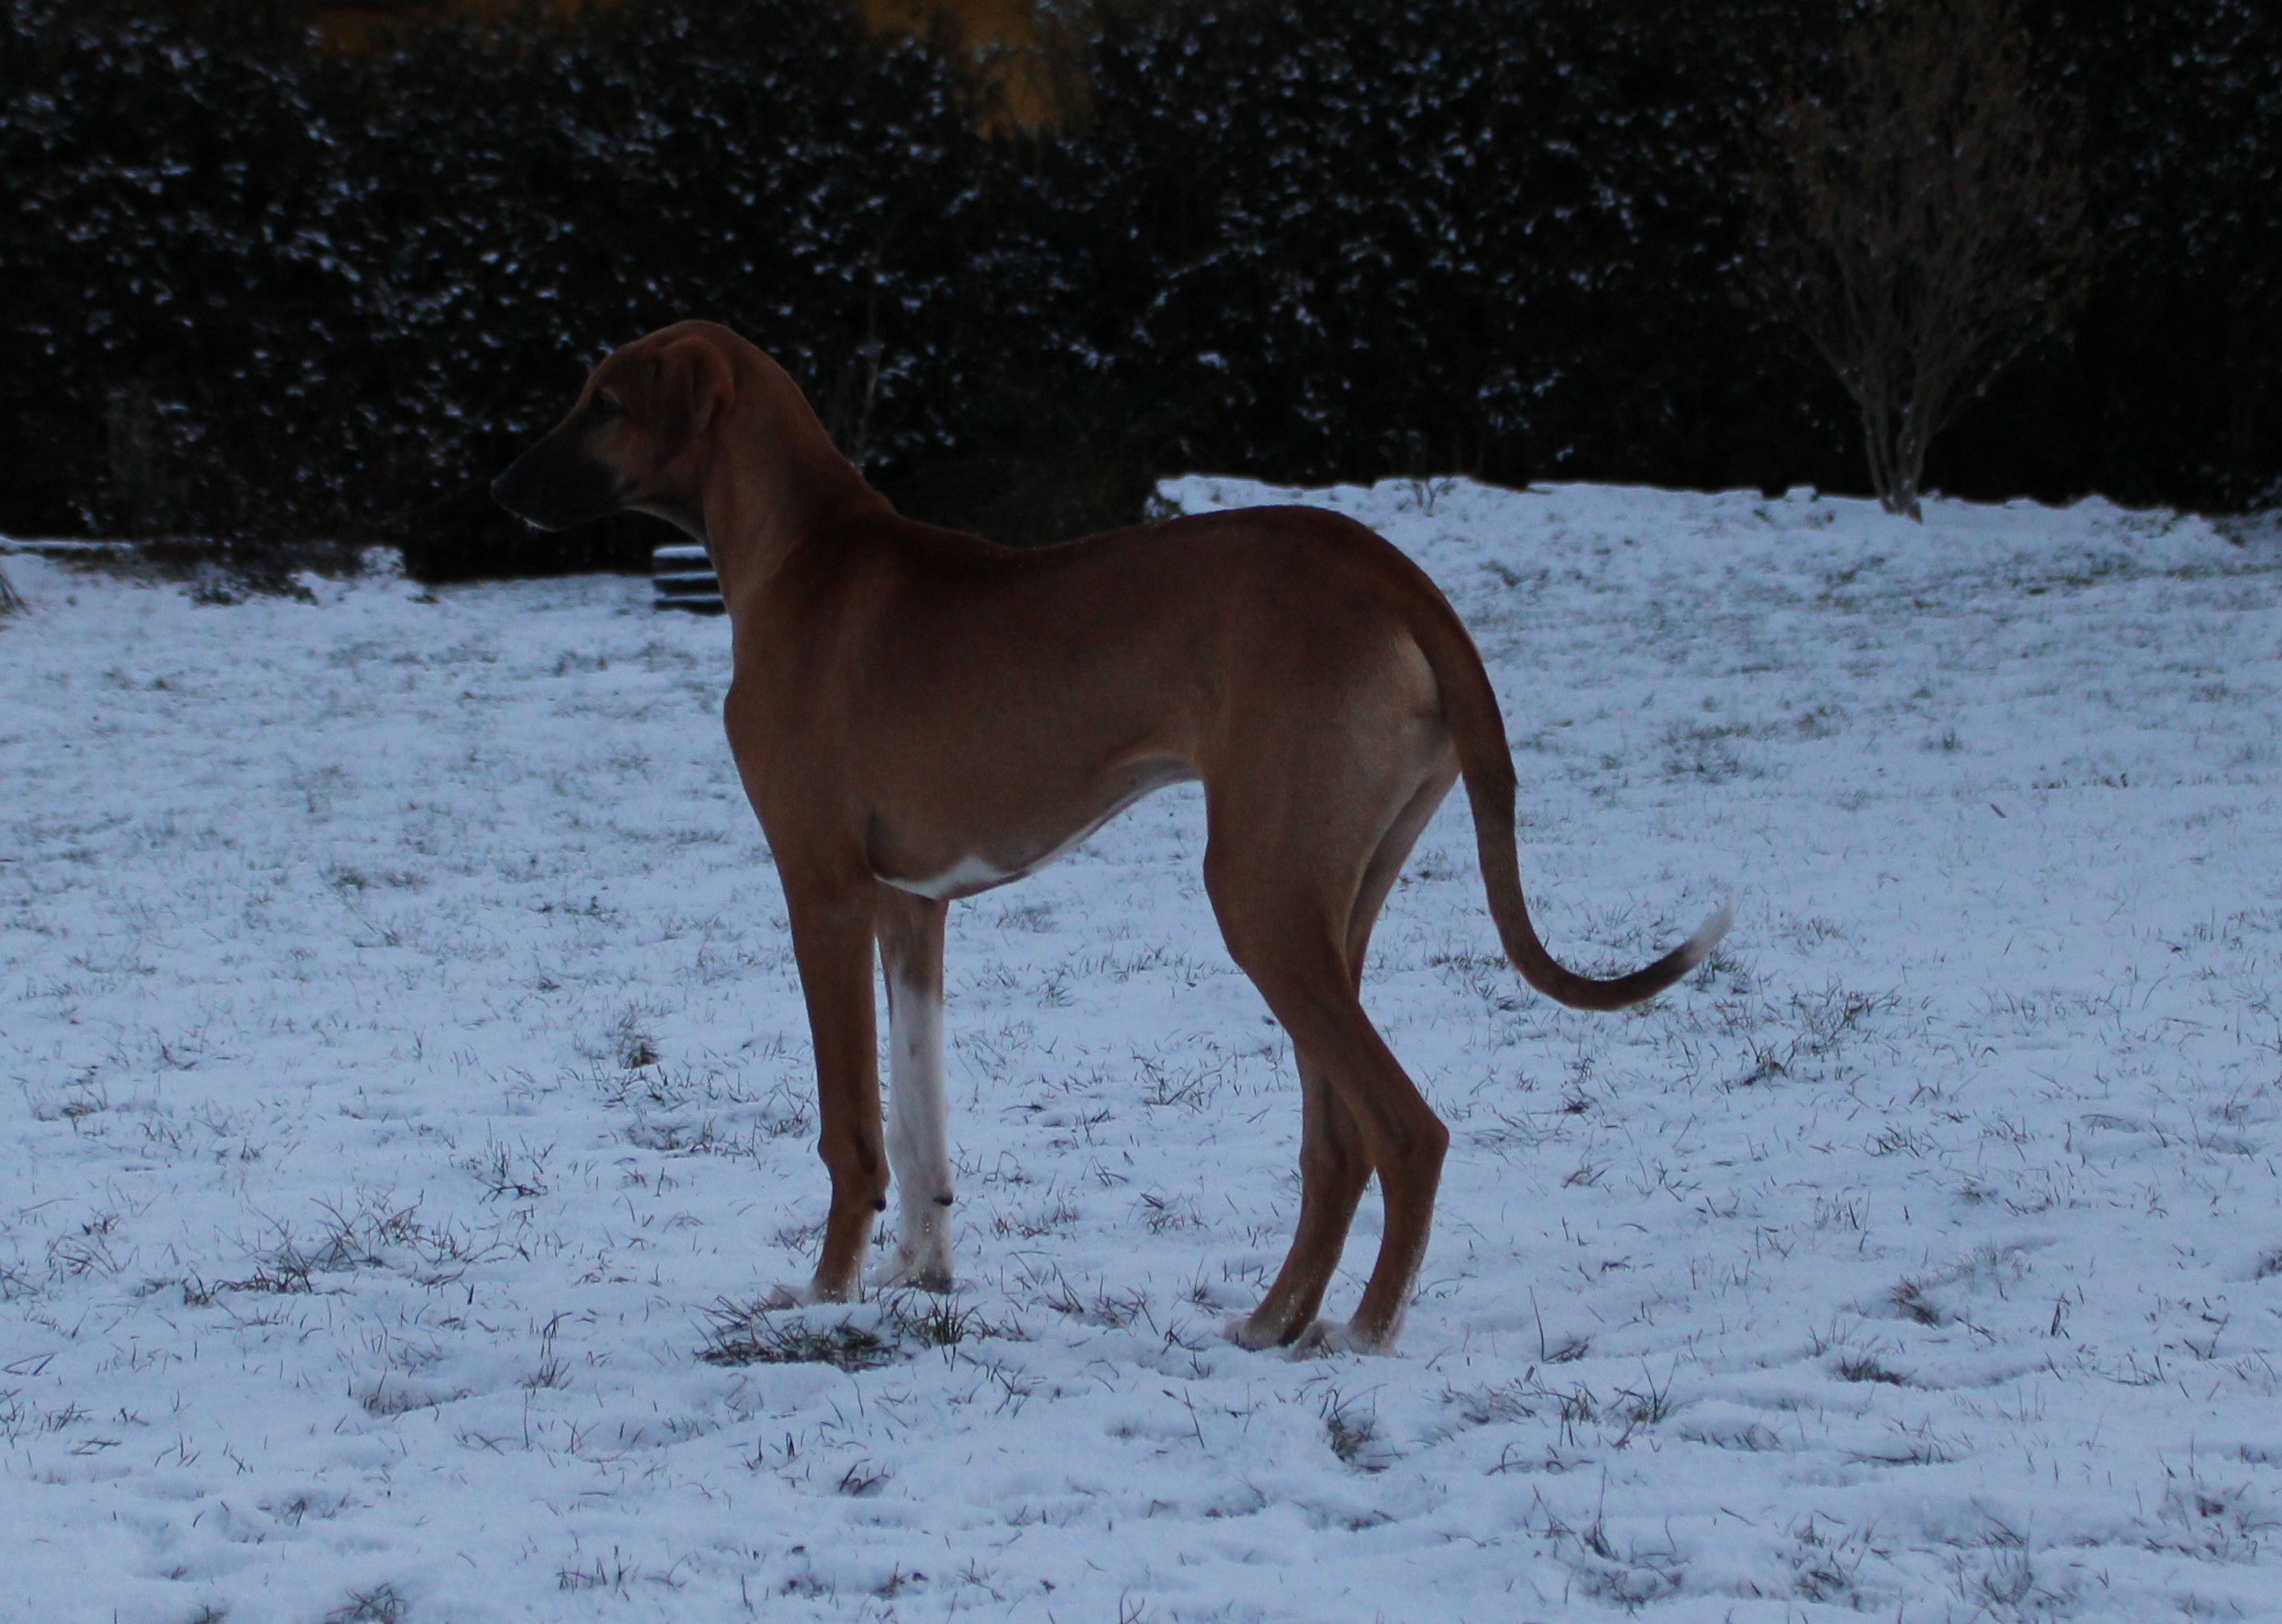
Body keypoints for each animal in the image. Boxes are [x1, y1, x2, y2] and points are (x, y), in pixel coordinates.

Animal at [493, 320, 1730, 1352]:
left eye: (602, 402)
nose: (499, 486)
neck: (805, 551)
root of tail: (1390, 571)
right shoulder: (912, 906)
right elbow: (921, 1118)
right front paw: (917, 1274)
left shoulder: (823, 892)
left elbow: (852, 1128)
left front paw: (823, 1293)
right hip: (1329, 901)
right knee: (1335, 1143)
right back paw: (1271, 1321)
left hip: (1258, 899)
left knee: (1406, 1131)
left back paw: (1362, 1336)